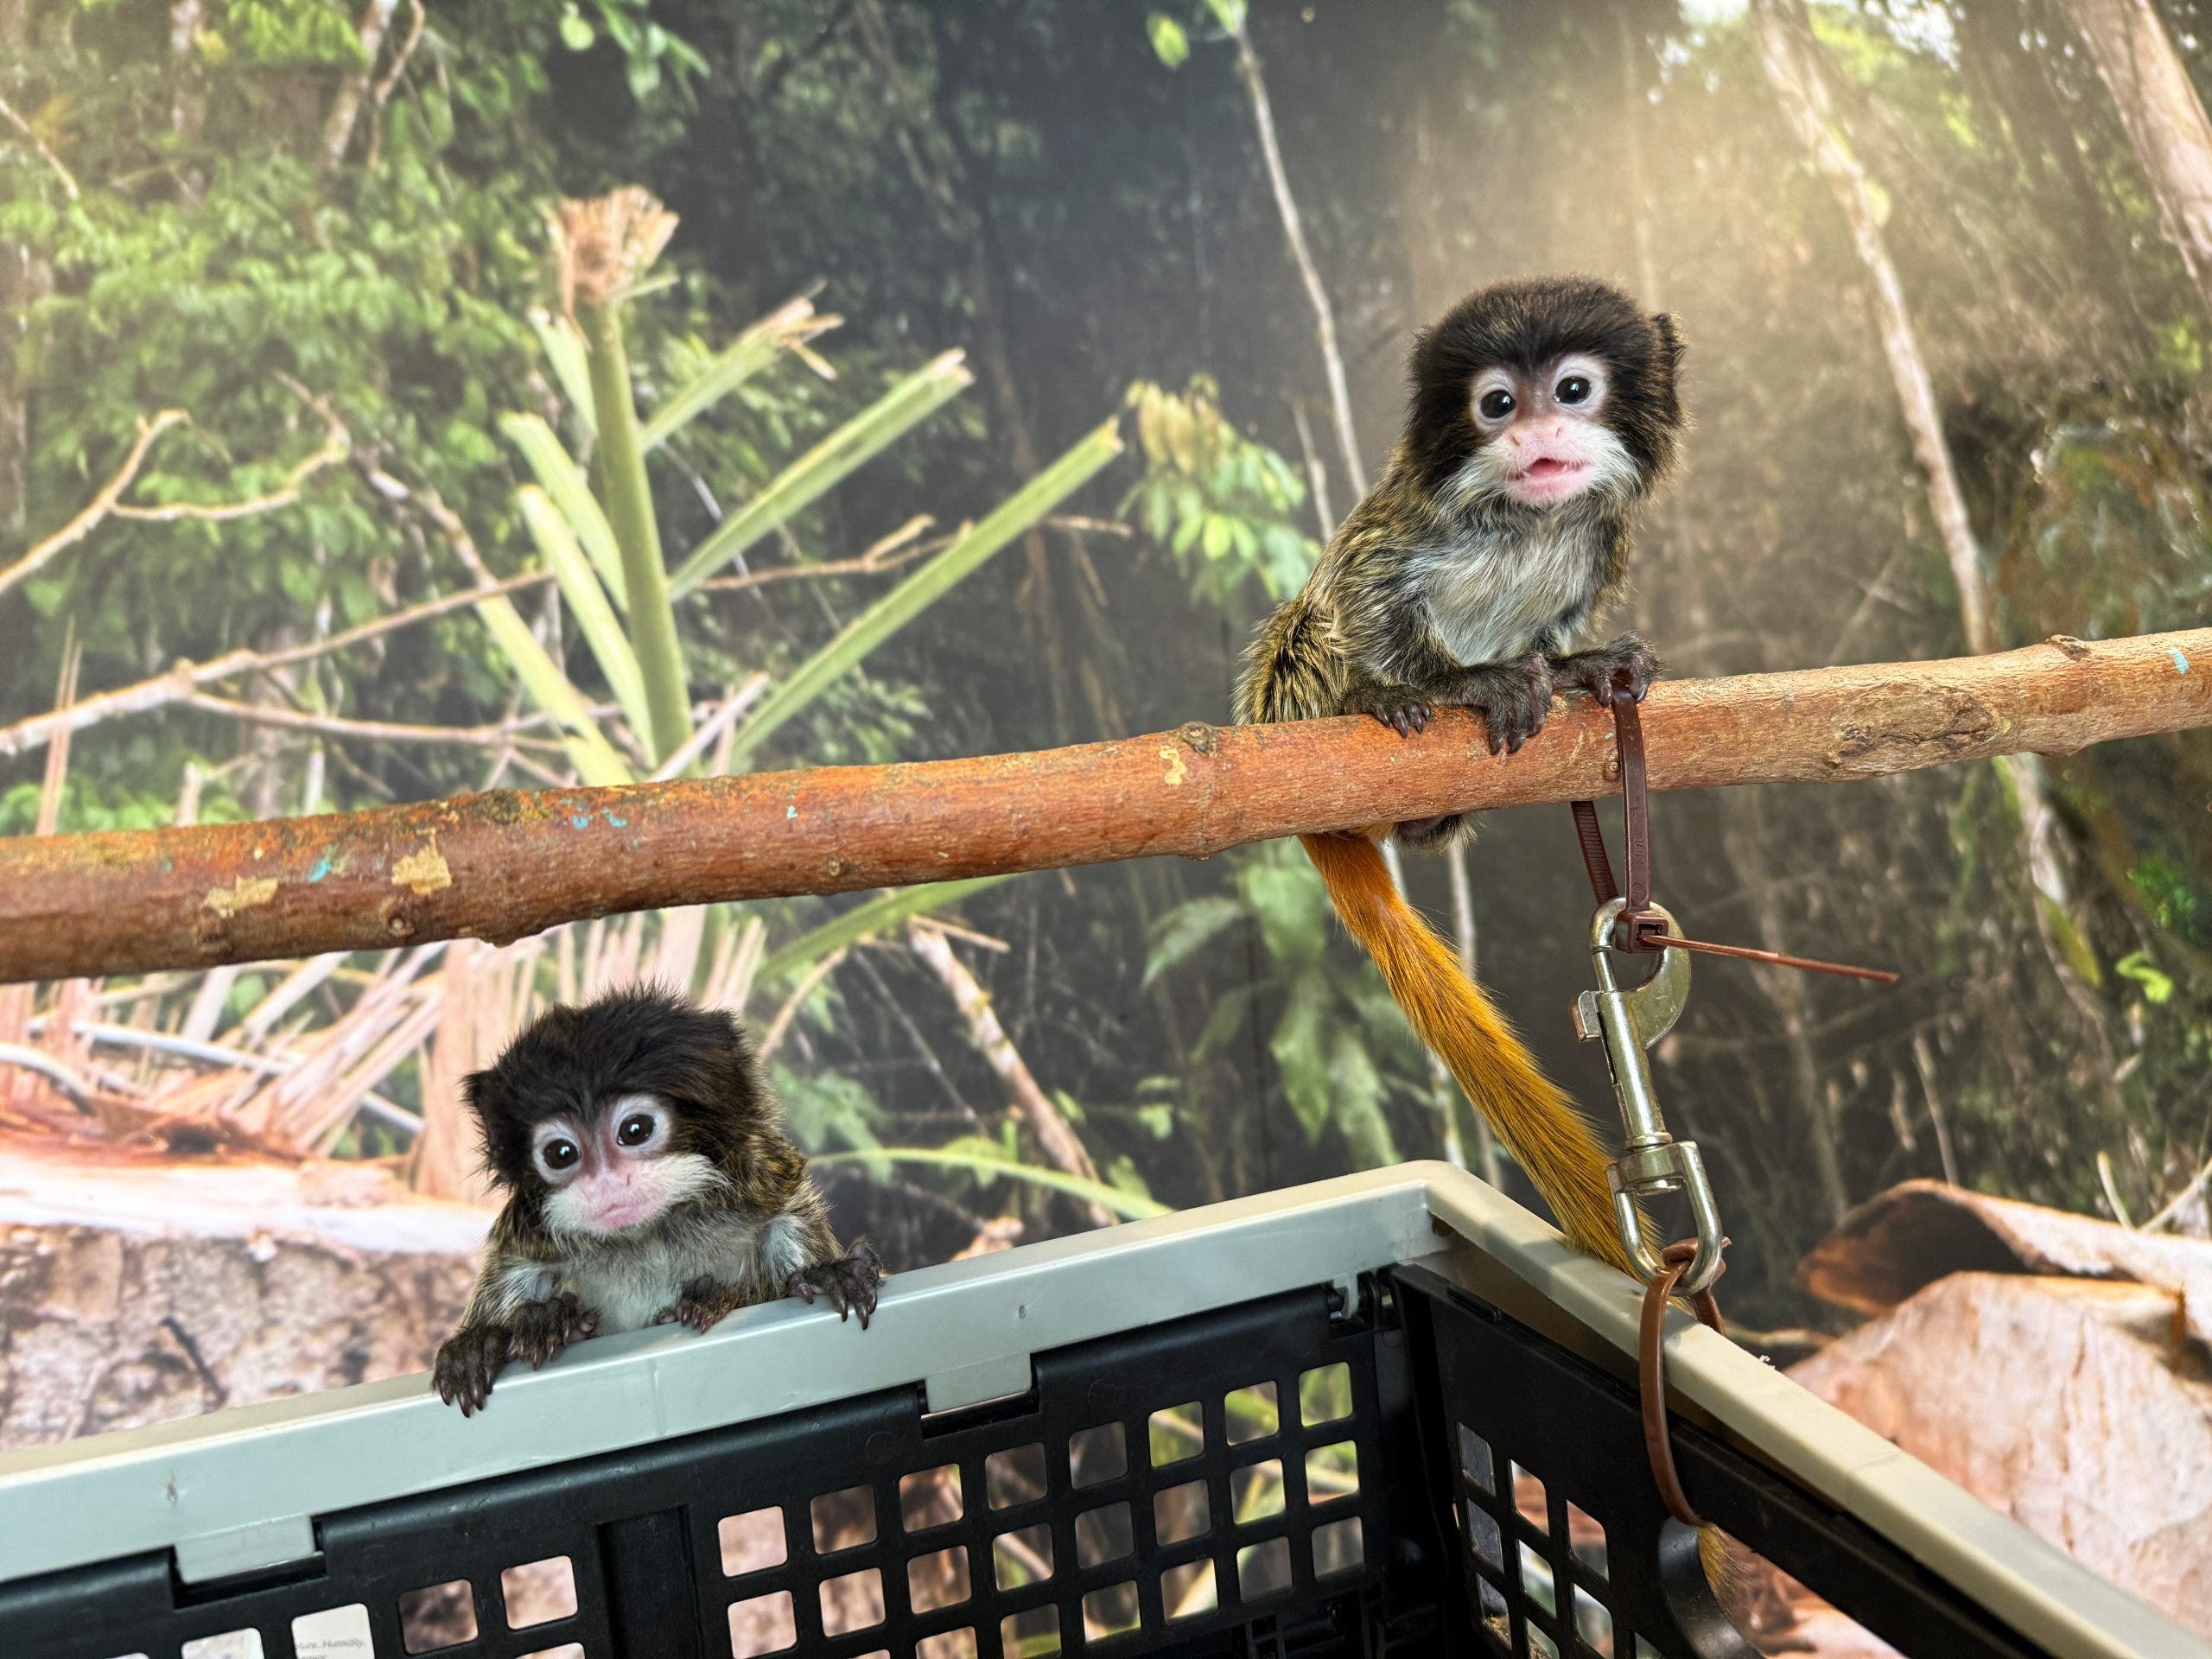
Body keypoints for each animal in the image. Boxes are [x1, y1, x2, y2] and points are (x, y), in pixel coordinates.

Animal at [433, 985, 884, 1414]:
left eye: (635, 1129)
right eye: (560, 1154)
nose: (607, 1183)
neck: (651, 1236)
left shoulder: (760, 1177)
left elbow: (790, 1218)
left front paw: (826, 1274)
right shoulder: (529, 1233)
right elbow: (509, 1272)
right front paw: (491, 1339)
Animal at [1237, 276, 1686, 1279]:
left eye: (1571, 391)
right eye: (1496, 404)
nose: (1534, 433)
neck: (1529, 521)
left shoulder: (1598, 546)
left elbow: (1558, 634)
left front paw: (1584, 668)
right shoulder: (1400, 533)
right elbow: (1355, 598)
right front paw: (1454, 683)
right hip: (1280, 703)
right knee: (1305, 623)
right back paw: (1380, 701)